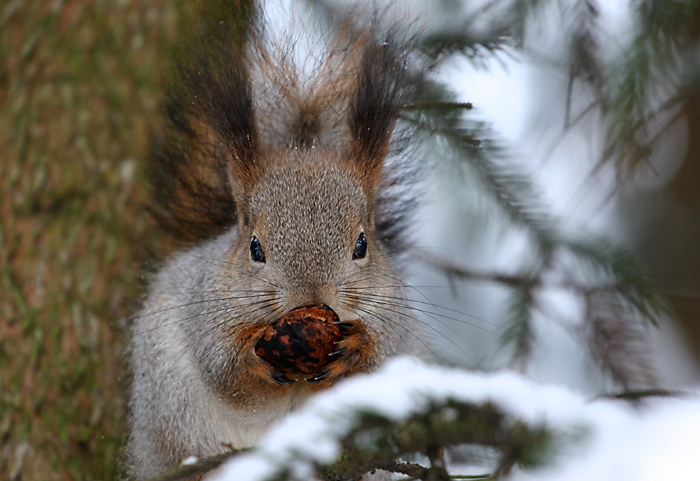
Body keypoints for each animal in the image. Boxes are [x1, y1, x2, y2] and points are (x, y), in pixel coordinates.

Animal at [126, 1, 432, 478]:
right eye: (255, 248)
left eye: (362, 245)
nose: (314, 300)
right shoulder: (204, 311)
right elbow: (225, 372)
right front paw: (254, 355)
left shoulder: (395, 322)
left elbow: (380, 360)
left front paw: (356, 350)